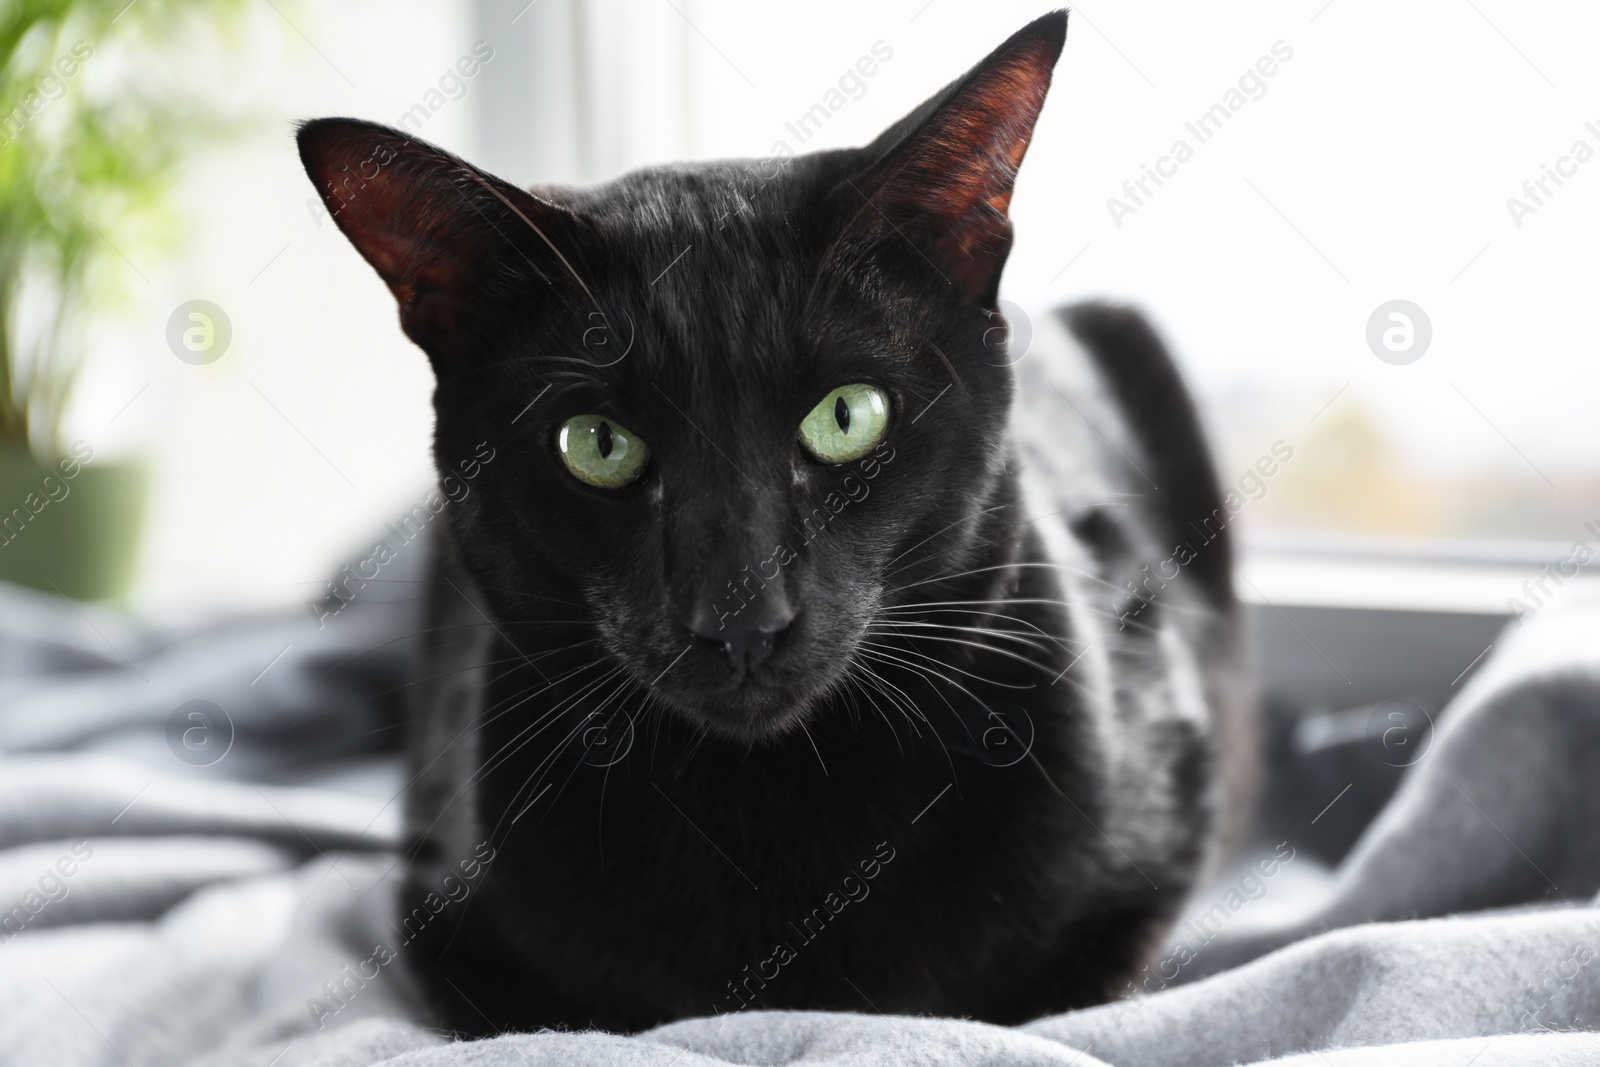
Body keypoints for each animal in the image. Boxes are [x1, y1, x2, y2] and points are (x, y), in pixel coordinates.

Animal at [300, 10, 1248, 1036]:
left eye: (847, 416)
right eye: (597, 443)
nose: (741, 617)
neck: (768, 819)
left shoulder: (1154, 847)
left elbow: (1036, 999)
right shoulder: (444, 916)